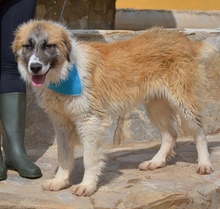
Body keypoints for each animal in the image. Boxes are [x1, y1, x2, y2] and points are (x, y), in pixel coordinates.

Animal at [12, 19, 215, 196]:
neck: (65, 73)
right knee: (170, 134)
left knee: (199, 132)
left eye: (48, 46)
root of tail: (187, 41)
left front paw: (87, 185)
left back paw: (204, 164)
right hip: (156, 105)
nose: (35, 67)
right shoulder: (61, 122)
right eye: (28, 46)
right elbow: (64, 155)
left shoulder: (89, 120)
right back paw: (155, 162)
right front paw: (60, 181)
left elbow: (90, 158)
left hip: (183, 102)